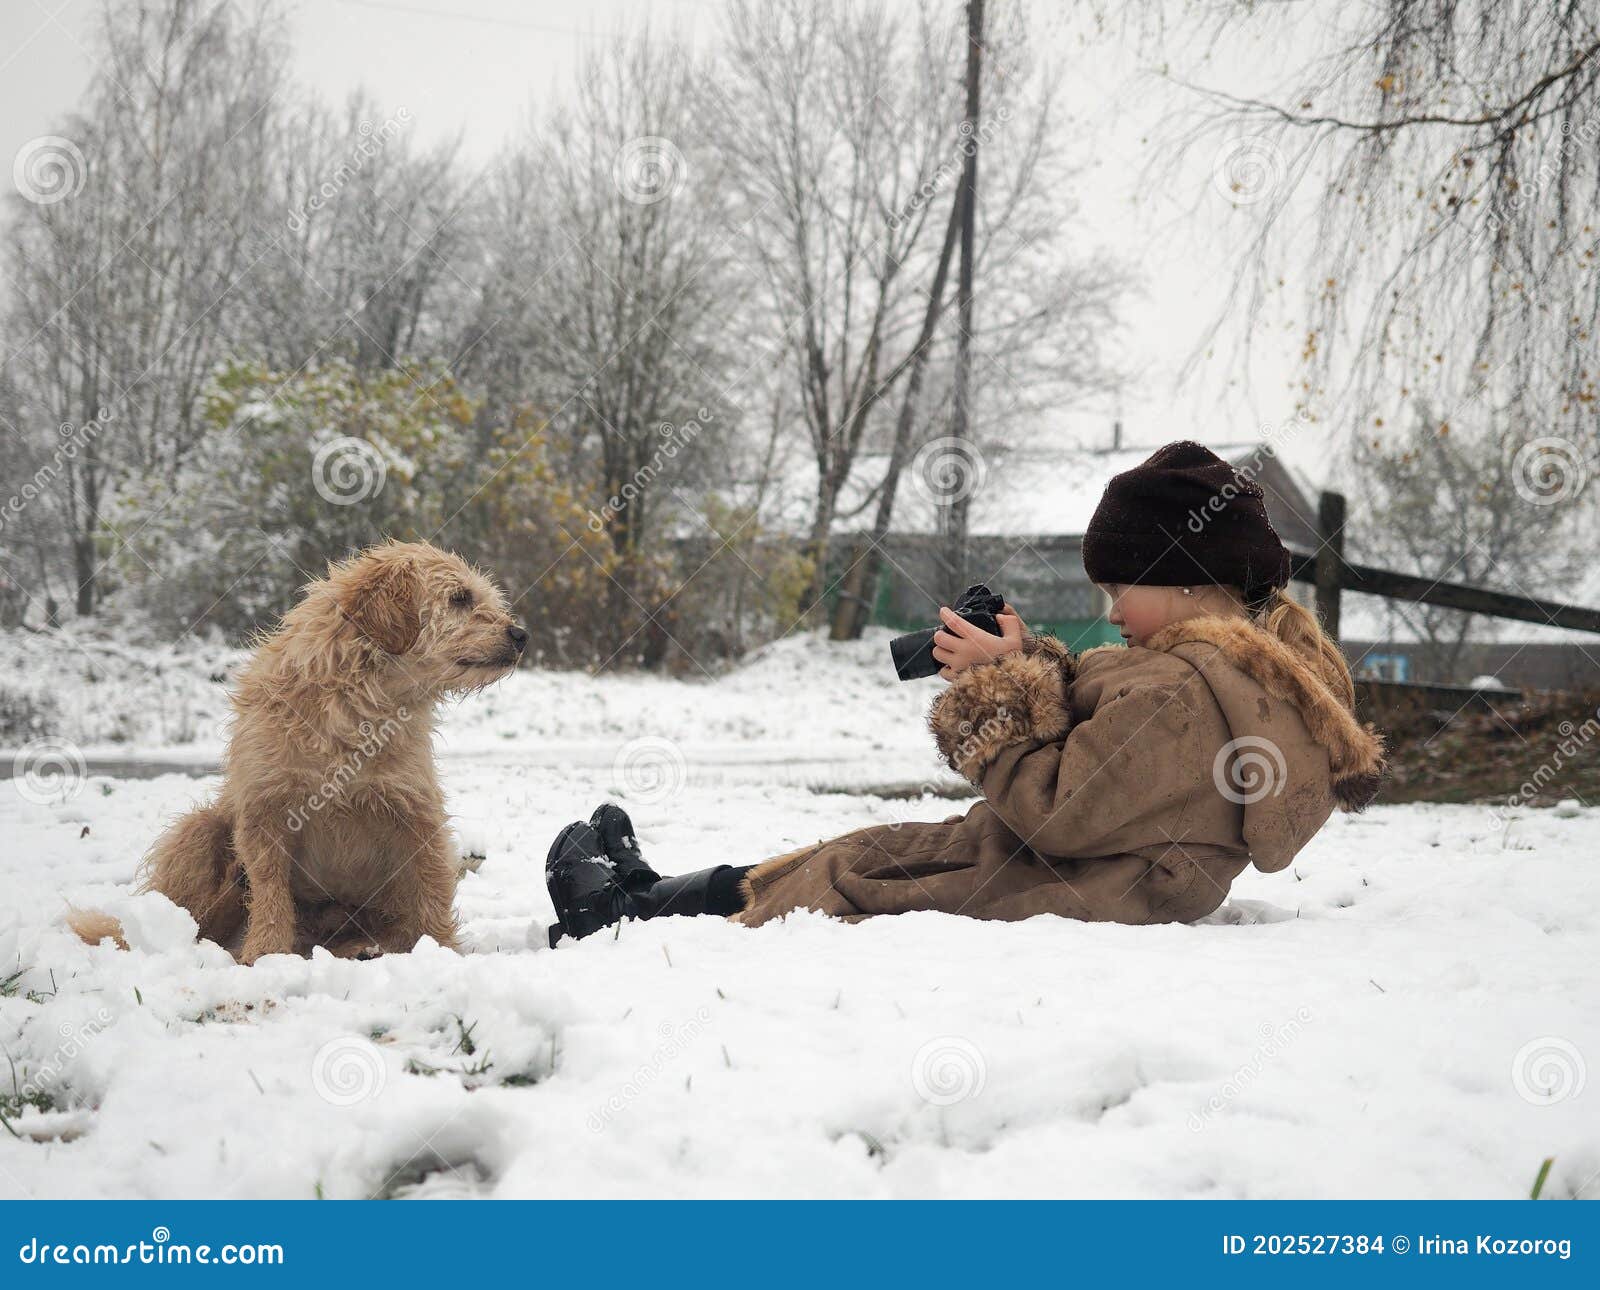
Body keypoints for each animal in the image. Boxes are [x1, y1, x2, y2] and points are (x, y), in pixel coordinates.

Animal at [68, 540, 524, 966]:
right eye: (460, 598)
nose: (521, 635)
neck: (355, 707)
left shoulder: (415, 811)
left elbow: (430, 889)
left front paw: (439, 951)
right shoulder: (265, 812)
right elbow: (270, 893)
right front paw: (264, 955)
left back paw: (365, 948)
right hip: (199, 831)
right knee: (200, 917)